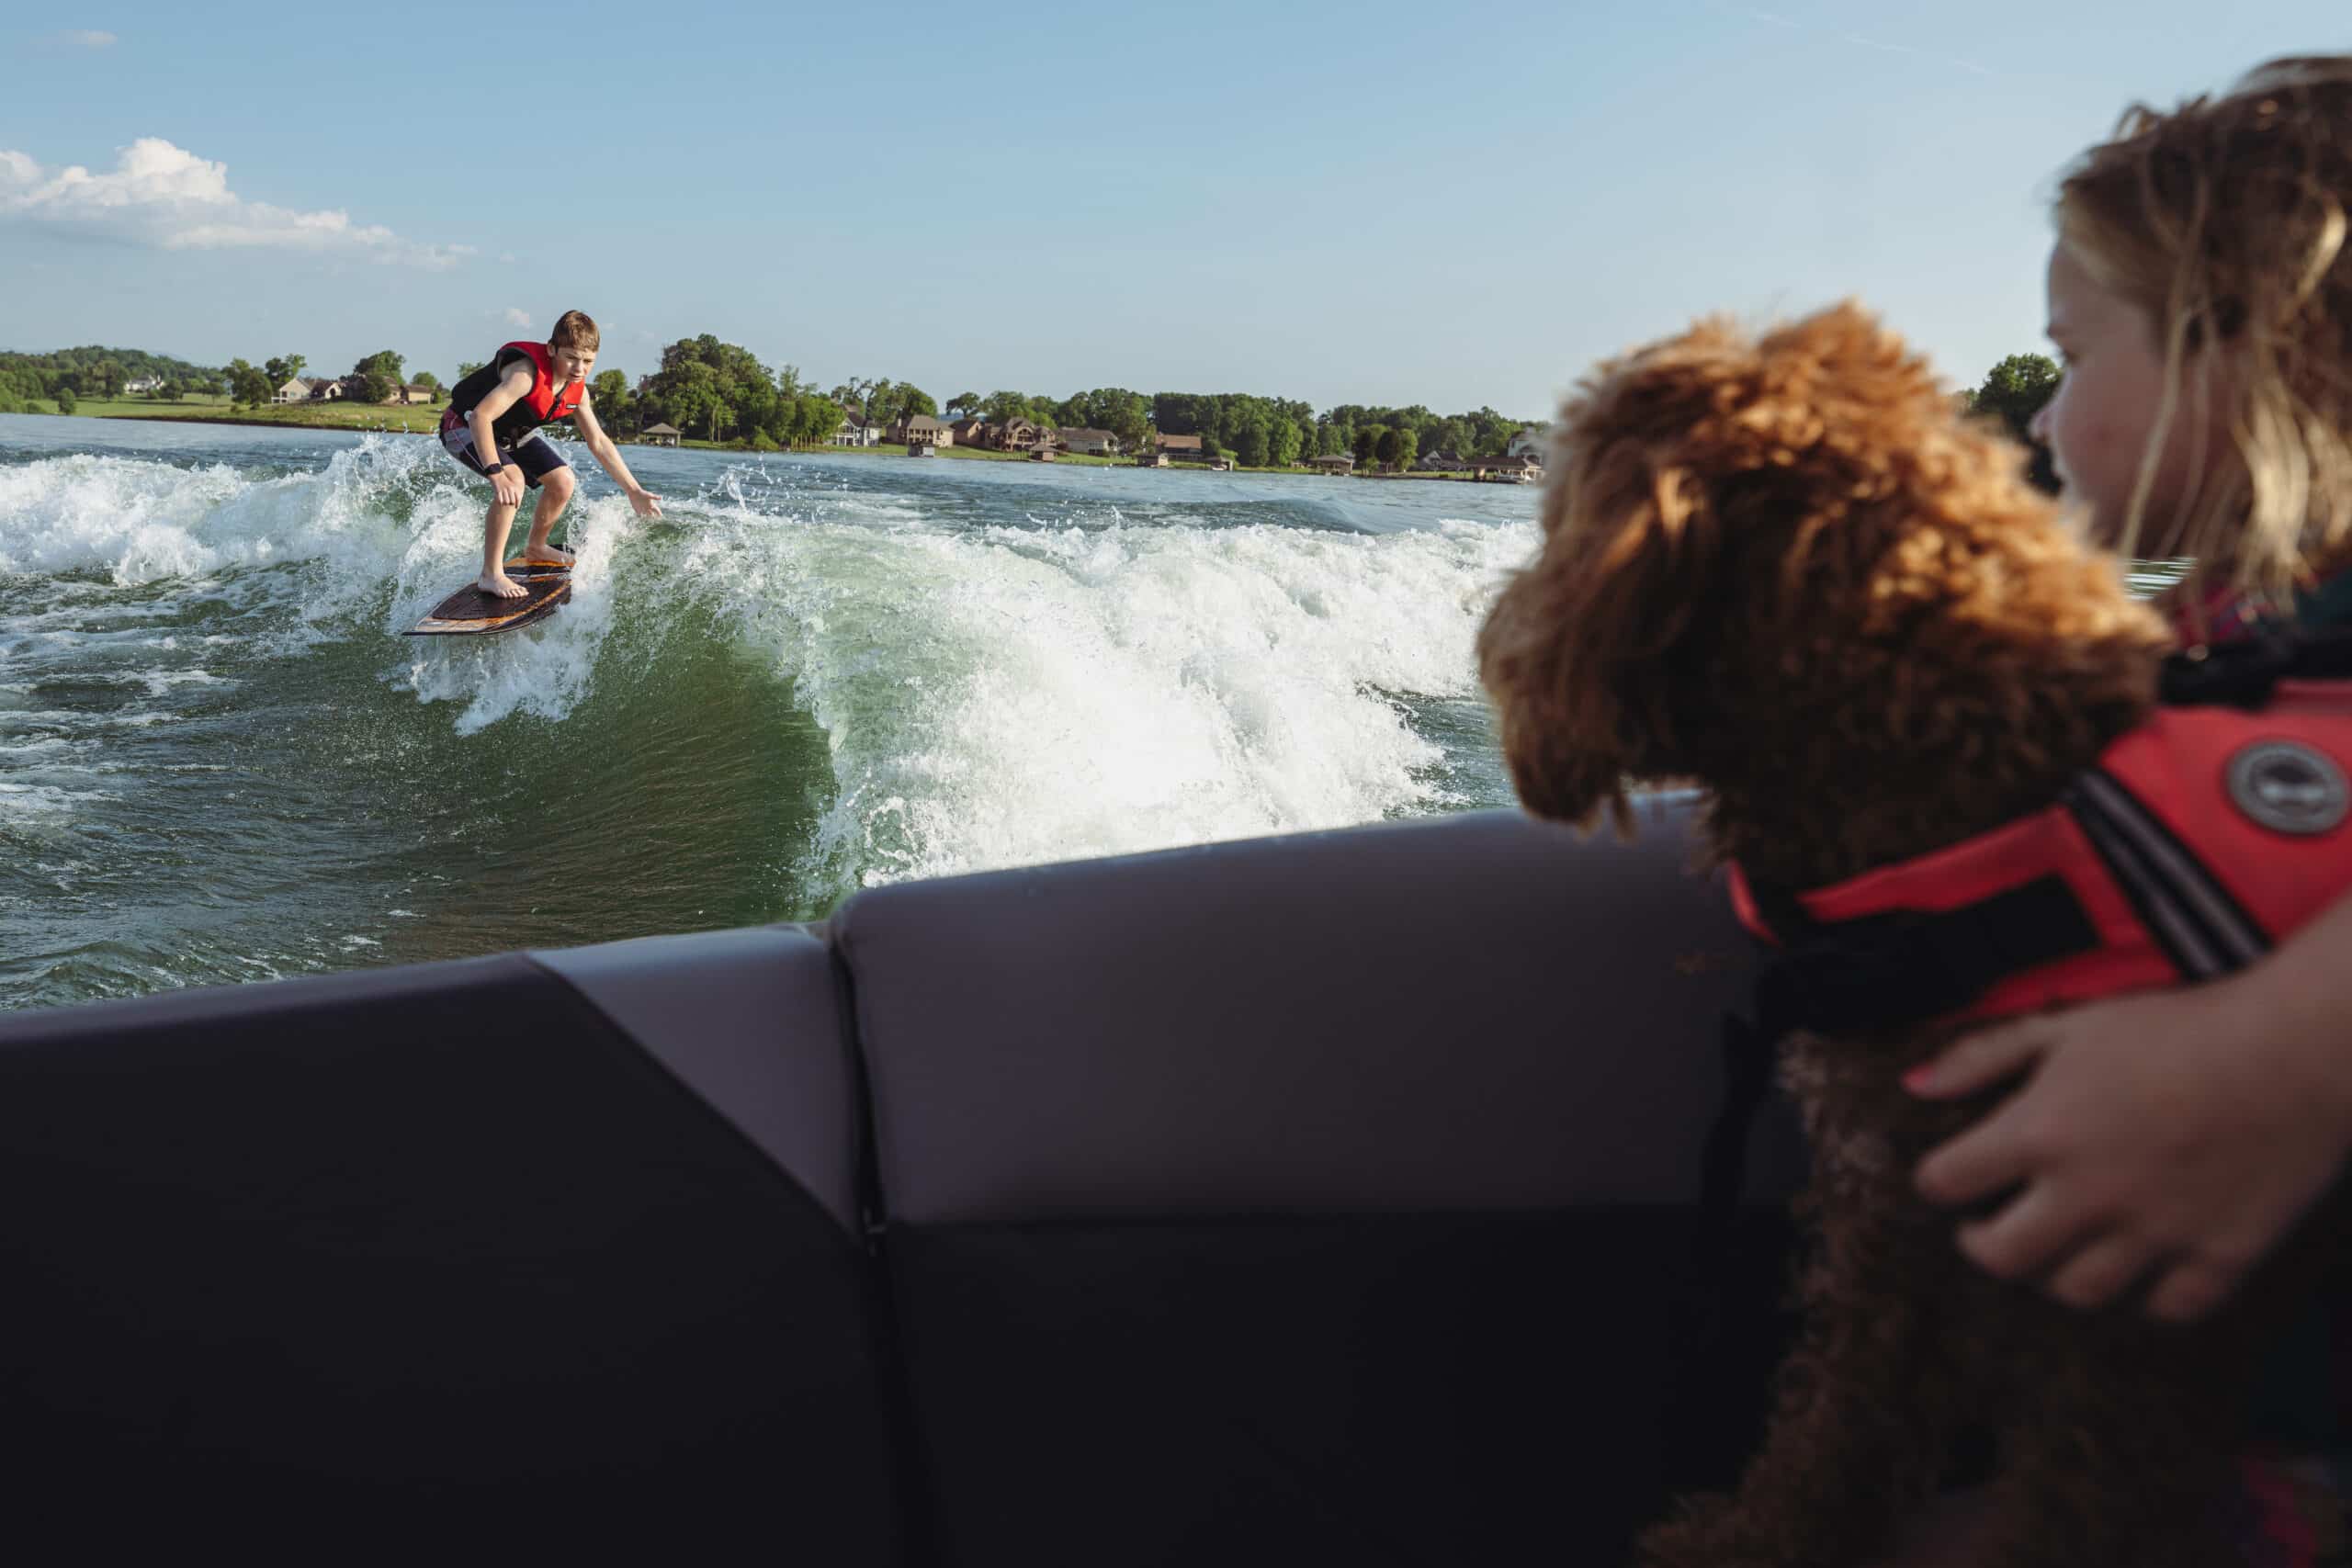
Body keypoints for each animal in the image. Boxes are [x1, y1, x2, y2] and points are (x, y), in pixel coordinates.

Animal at [1476, 300, 2342, 1561]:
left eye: (1560, 501)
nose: (1498, 637)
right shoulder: (1901, 1208)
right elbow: (1849, 1414)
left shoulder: (2113, 1302)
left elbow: (2051, 1496)